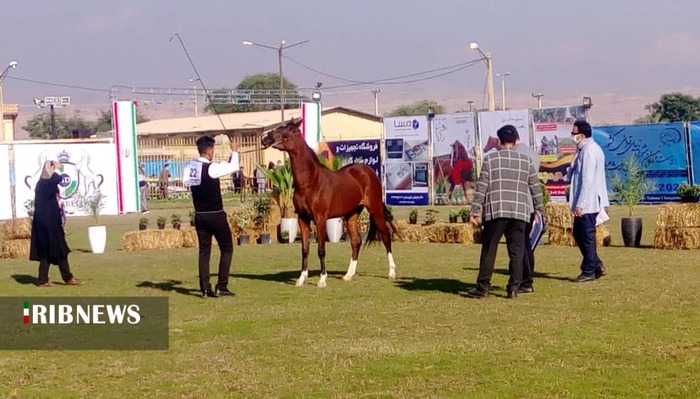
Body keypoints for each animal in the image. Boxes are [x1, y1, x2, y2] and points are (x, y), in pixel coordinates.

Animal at [260, 118, 400, 288]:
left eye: (287, 130)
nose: (265, 138)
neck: (310, 182)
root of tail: (368, 171)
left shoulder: (320, 219)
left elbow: (321, 249)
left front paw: (322, 280)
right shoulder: (302, 219)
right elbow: (305, 249)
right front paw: (301, 279)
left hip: (375, 210)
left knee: (386, 237)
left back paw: (391, 272)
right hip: (352, 215)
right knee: (356, 241)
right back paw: (348, 275)